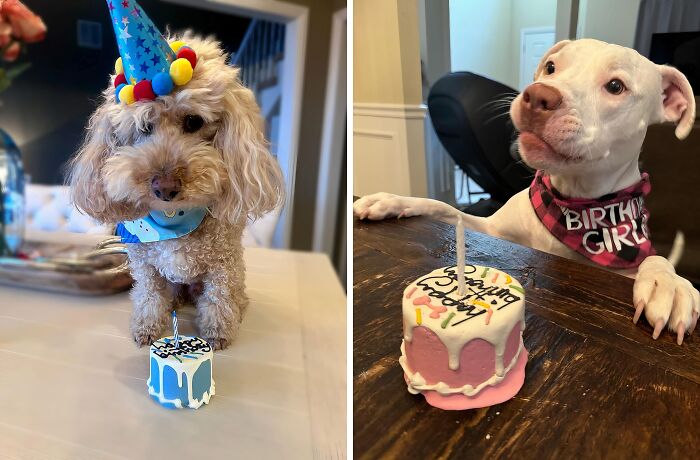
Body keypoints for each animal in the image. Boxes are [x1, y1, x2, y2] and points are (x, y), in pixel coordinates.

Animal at [356, 38, 700, 344]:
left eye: (616, 86)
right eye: (551, 67)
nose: (538, 96)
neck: (570, 201)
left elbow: (655, 258)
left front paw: (668, 285)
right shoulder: (490, 229)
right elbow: (445, 208)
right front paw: (391, 201)